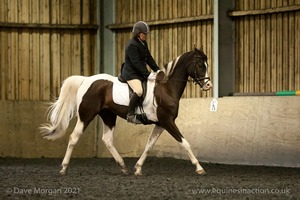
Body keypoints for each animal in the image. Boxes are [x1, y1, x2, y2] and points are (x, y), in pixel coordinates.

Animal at [39, 46, 212, 175]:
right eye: (199, 64)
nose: (208, 85)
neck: (167, 88)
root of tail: (86, 80)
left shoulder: (160, 123)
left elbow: (149, 145)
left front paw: (138, 168)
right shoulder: (168, 122)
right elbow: (185, 143)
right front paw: (199, 168)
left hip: (108, 116)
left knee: (107, 140)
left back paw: (123, 166)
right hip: (86, 115)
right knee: (74, 137)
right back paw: (64, 168)